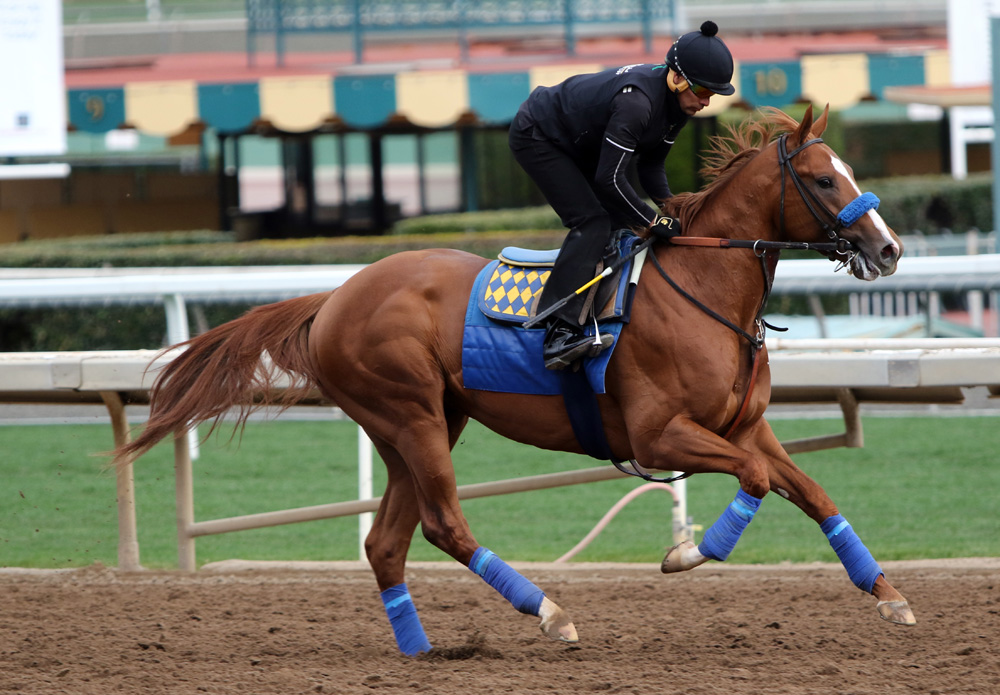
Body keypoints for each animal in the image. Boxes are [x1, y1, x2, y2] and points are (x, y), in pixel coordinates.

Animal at [115, 106, 916, 656]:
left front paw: (890, 595)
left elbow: (813, 491)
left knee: (386, 542)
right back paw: (549, 612)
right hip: (410, 414)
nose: (889, 248)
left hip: (421, 424)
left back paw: (421, 649)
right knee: (442, 523)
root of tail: (336, 295)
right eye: (823, 179)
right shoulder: (661, 435)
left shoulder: (744, 426)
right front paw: (684, 554)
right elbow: (754, 480)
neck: (703, 286)